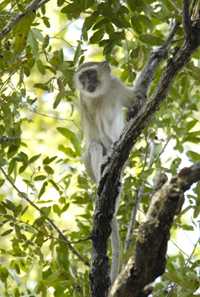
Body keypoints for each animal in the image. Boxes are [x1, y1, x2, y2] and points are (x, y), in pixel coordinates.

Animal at [74, 60, 137, 282]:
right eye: (83, 78)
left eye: (91, 74)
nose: (87, 84)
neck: (102, 94)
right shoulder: (86, 100)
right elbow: (98, 131)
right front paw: (110, 153)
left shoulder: (117, 86)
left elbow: (137, 103)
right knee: (94, 145)